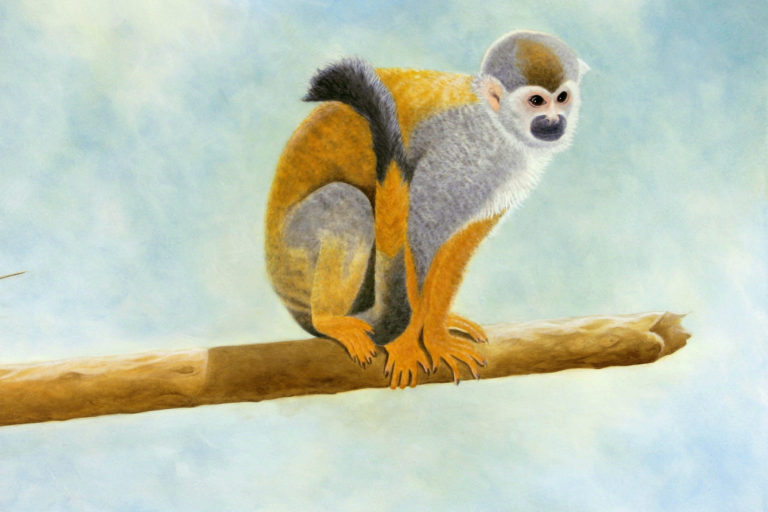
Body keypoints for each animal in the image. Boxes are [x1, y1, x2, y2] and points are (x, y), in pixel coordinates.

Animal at [265, 30, 588, 388]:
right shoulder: (463, 151)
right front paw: (406, 344)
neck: (499, 124)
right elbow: (417, 229)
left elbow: (459, 244)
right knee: (347, 203)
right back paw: (329, 320)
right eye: (536, 101)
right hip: (294, 254)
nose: (554, 120)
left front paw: (436, 333)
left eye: (562, 97)